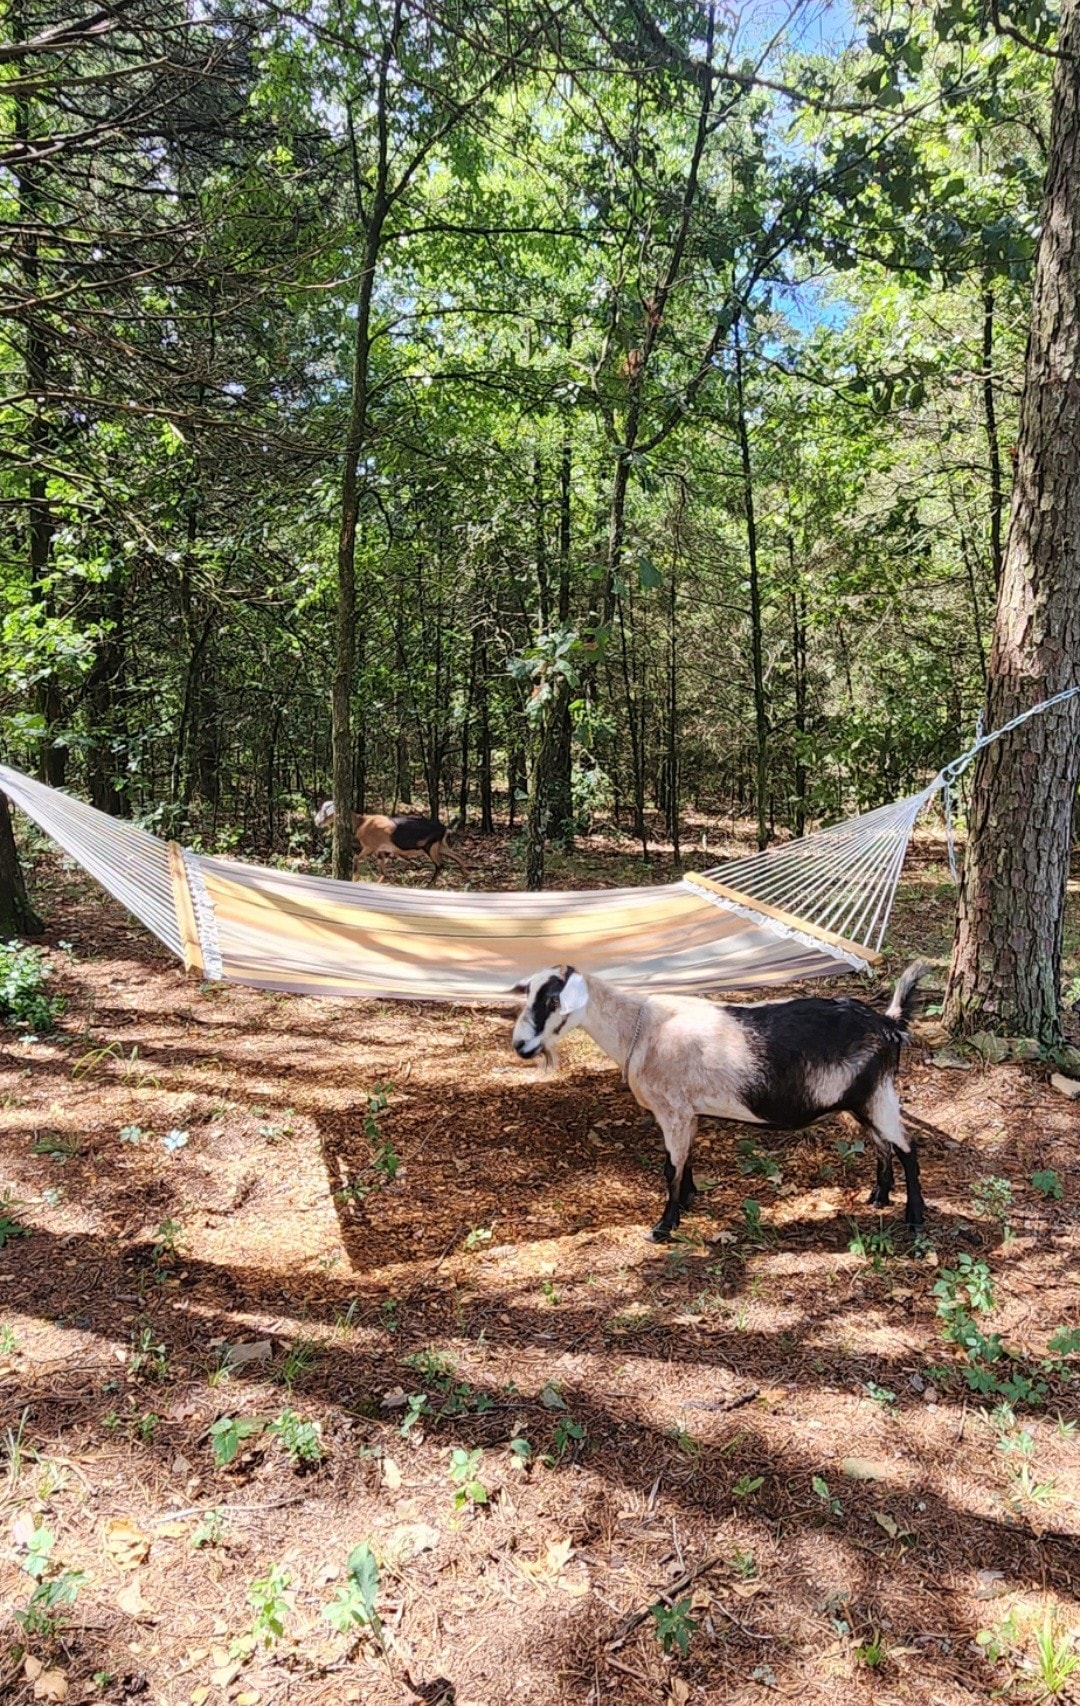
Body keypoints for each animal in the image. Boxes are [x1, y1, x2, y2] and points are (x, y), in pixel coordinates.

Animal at [511, 962, 928, 1241]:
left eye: (552, 999)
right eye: (528, 995)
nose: (520, 1046)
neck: (641, 1030)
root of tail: (888, 1024)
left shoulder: (673, 1109)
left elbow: (670, 1167)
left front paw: (663, 1227)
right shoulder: (687, 1111)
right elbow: (684, 1160)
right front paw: (688, 1200)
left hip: (878, 1094)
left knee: (907, 1148)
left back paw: (915, 1217)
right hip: (863, 1098)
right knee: (882, 1144)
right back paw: (878, 1196)